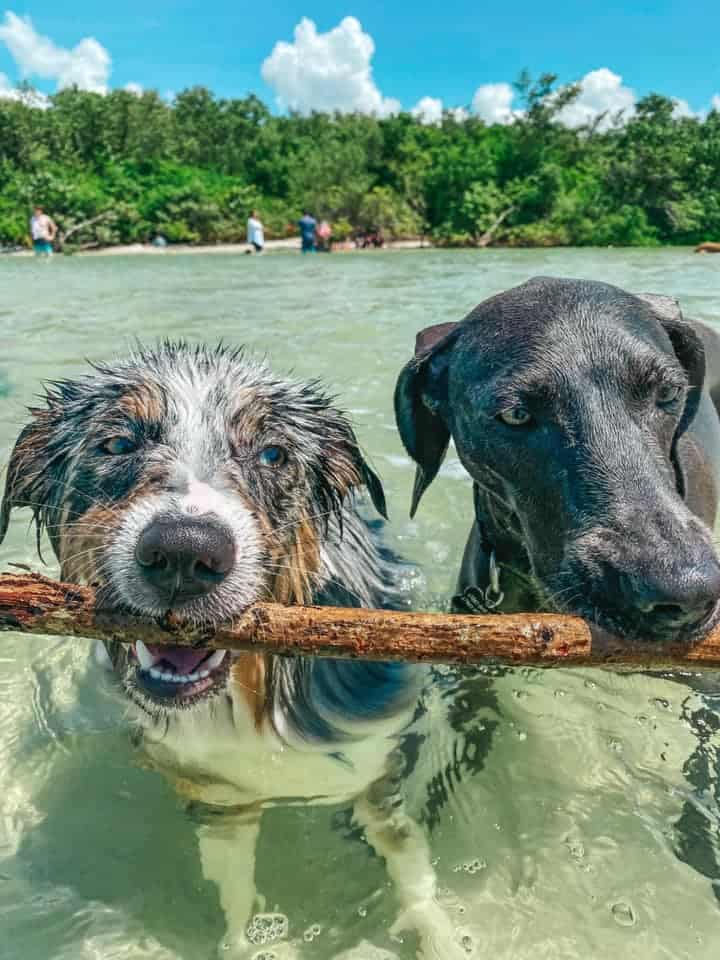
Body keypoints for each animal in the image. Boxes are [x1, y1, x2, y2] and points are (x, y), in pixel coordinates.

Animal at [0, 344, 462, 960]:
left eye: (273, 454)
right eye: (117, 444)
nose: (183, 553)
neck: (253, 701)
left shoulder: (381, 768)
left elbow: (408, 863)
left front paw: (442, 935)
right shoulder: (219, 797)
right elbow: (235, 892)